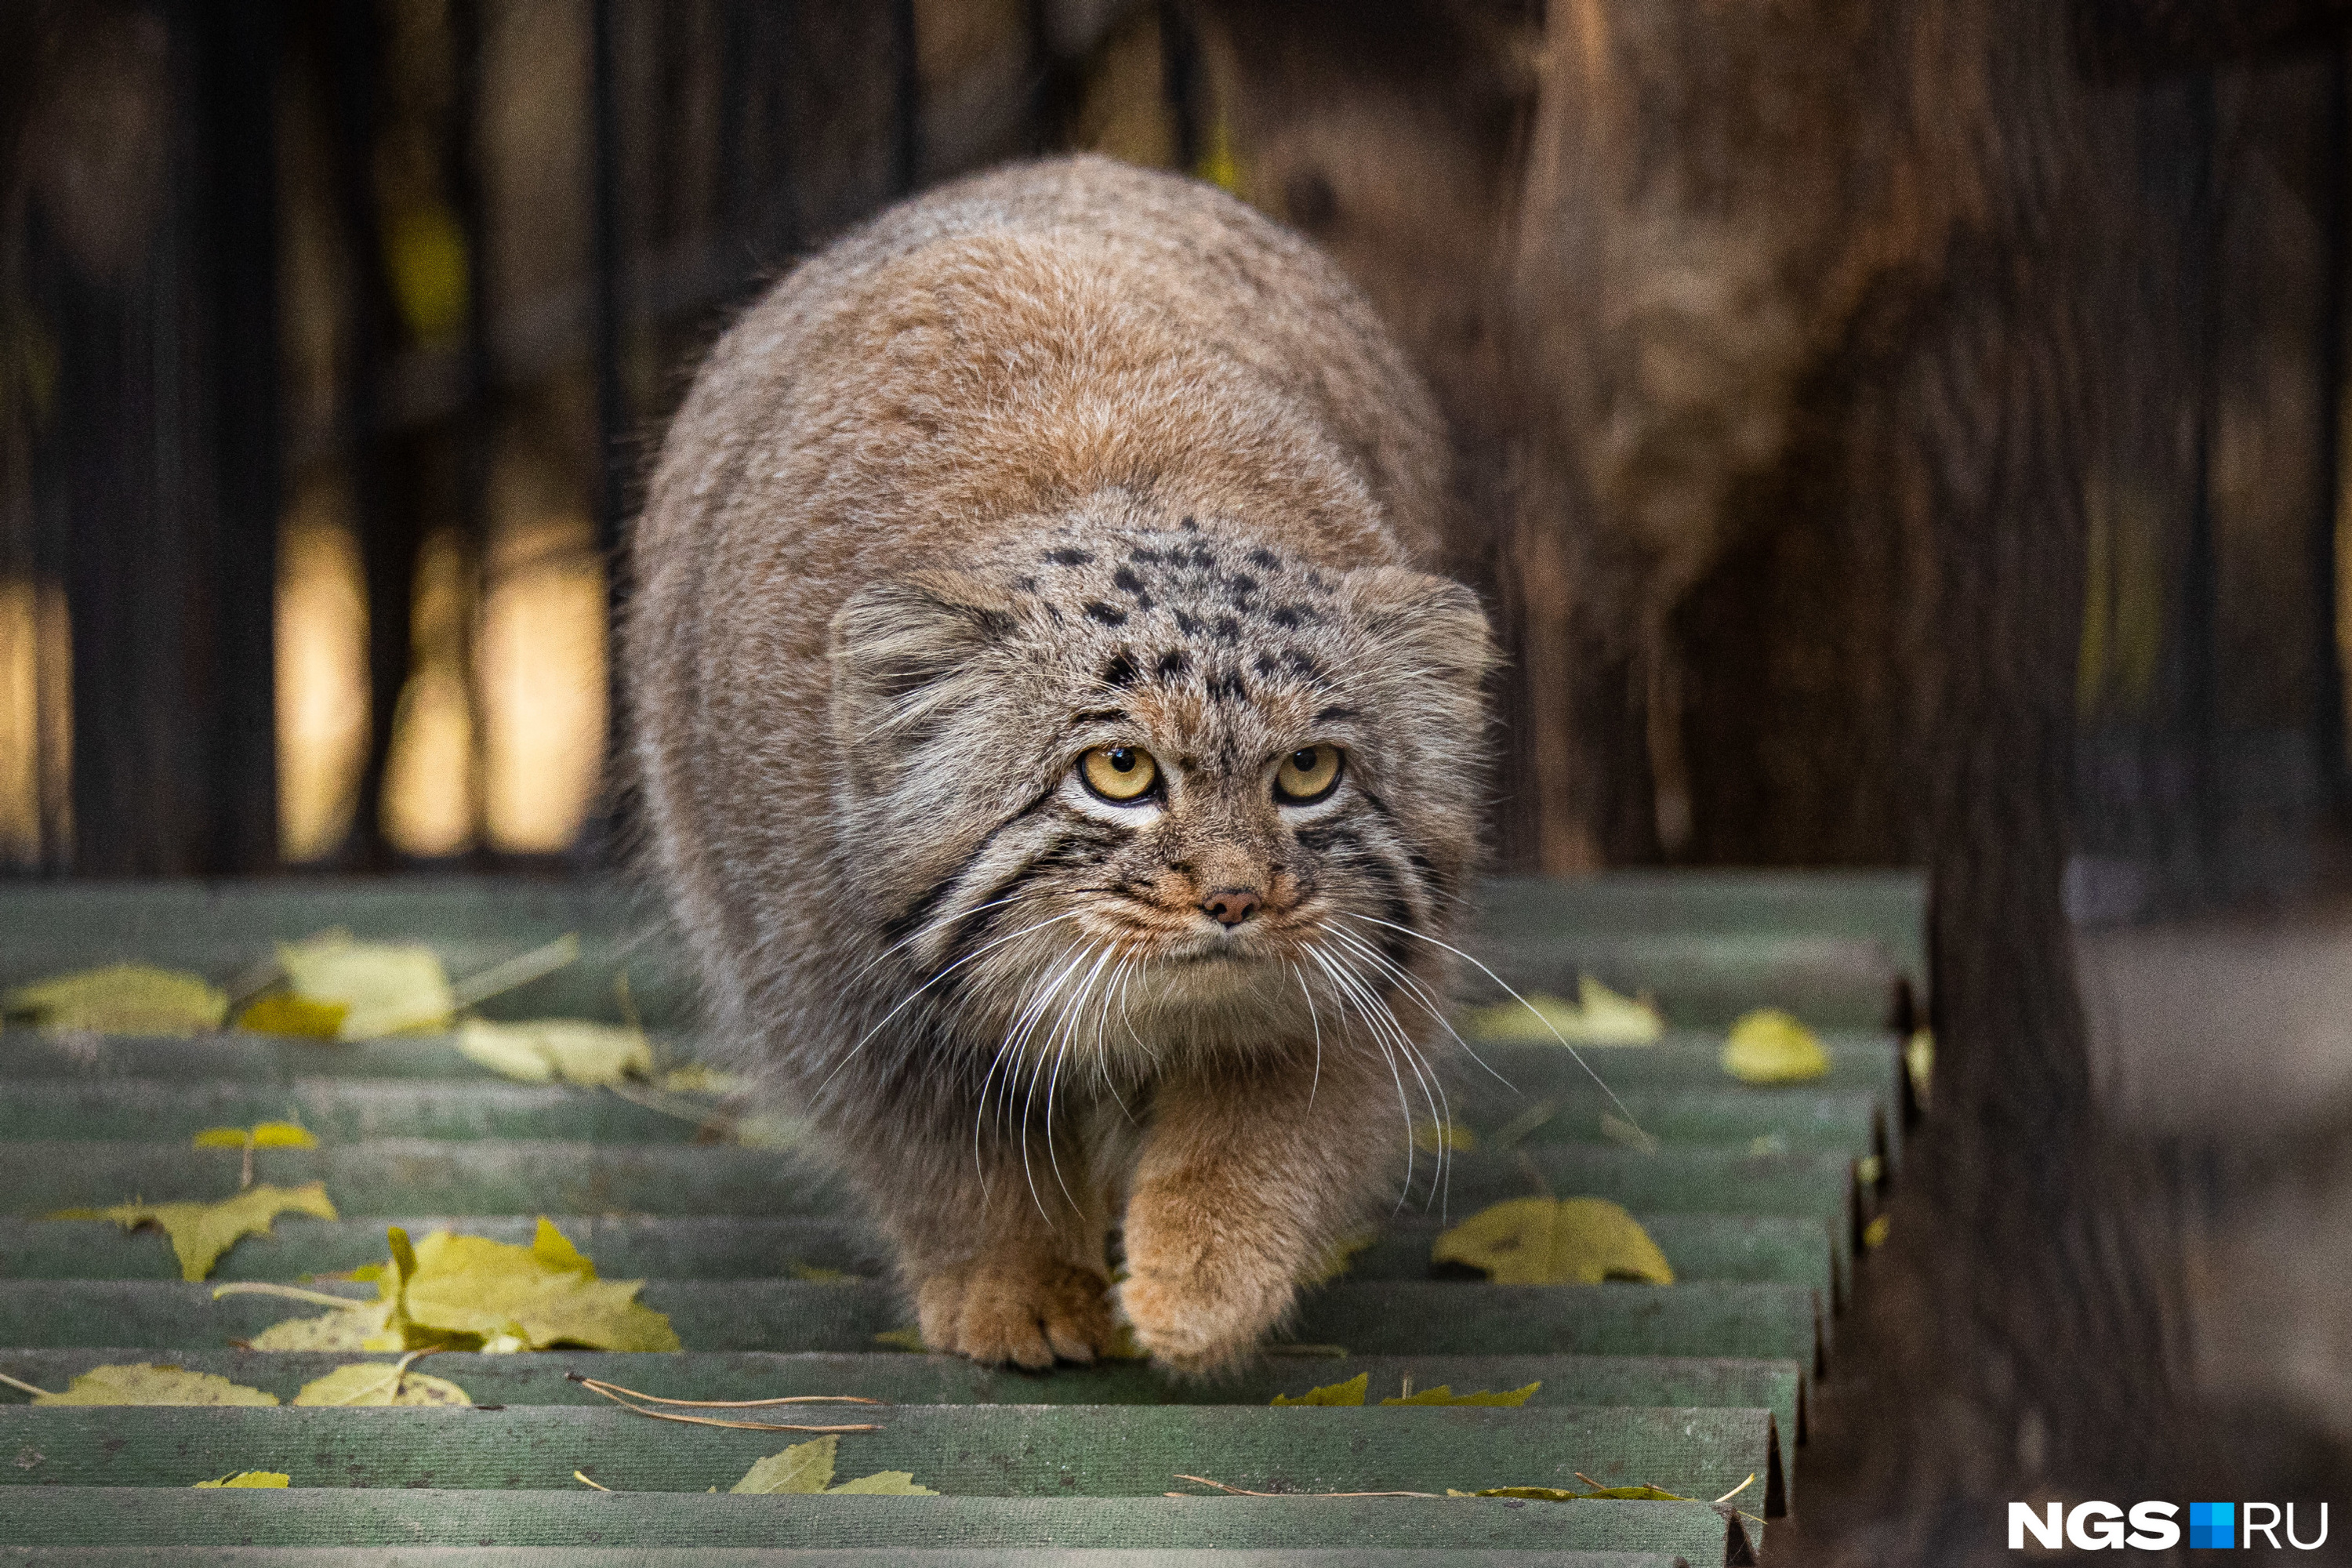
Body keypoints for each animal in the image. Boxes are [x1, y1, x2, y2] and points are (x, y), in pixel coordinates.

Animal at [630, 152, 1486, 1363]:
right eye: (1120, 772)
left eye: (1308, 775)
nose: (1236, 900)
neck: (1102, 473)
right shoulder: (821, 979)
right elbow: (951, 1160)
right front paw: (1017, 1282)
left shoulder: (1375, 972)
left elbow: (1273, 1125)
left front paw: (1205, 1277)